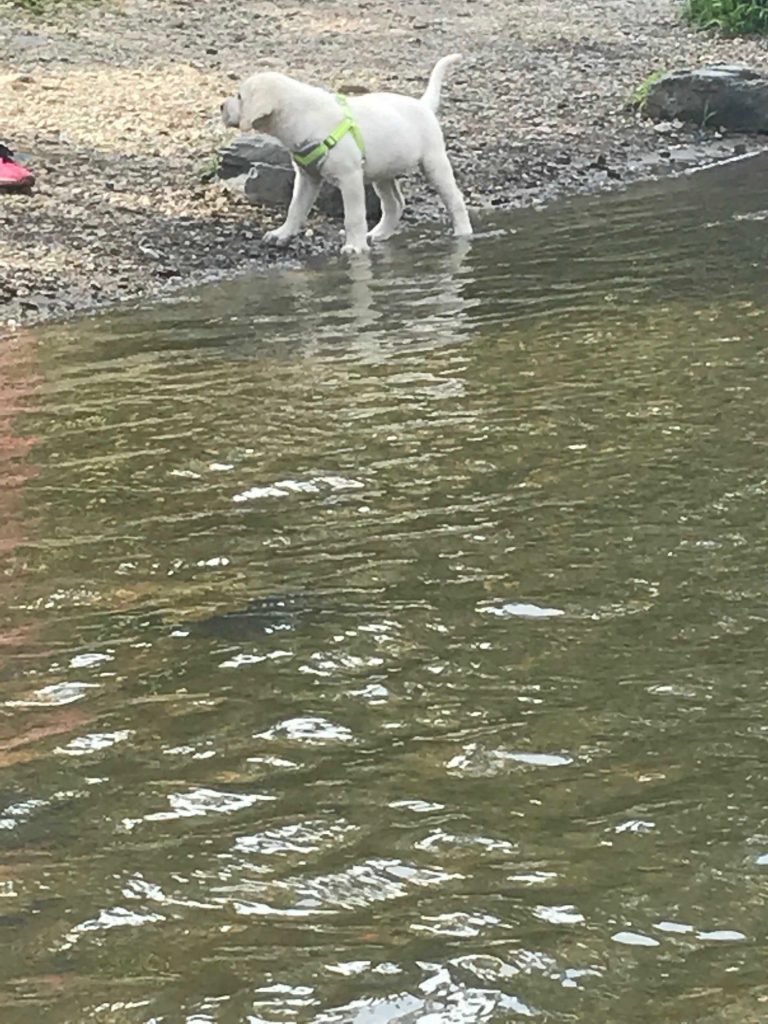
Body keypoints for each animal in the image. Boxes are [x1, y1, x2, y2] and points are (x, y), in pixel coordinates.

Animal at [221, 56, 475, 256]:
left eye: (240, 96)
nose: (221, 106)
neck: (302, 115)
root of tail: (423, 105)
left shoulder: (349, 177)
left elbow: (353, 216)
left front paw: (354, 246)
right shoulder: (307, 178)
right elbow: (295, 208)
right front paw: (281, 234)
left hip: (434, 163)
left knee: (455, 200)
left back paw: (463, 232)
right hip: (382, 172)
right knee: (394, 204)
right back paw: (379, 233)